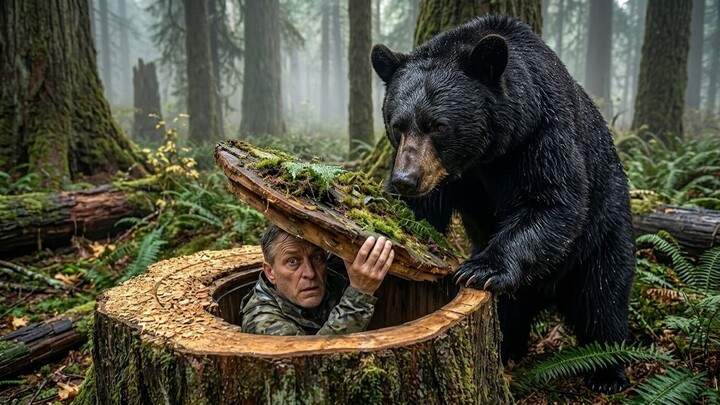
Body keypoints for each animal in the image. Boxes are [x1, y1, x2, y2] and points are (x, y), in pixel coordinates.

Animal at [371, 15, 635, 394]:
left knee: (603, 299)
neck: (486, 154)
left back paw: (608, 372)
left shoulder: (540, 134)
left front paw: (481, 269)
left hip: (605, 233)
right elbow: (425, 211)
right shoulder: (450, 177)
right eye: (397, 124)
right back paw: (507, 348)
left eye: (438, 125)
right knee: (512, 313)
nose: (405, 179)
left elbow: (553, 200)